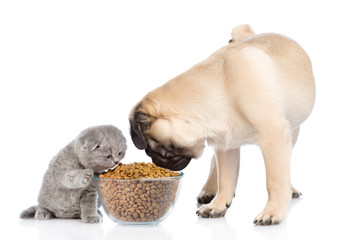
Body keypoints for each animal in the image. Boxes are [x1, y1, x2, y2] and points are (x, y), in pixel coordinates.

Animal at [130, 24, 316, 225]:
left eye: (152, 148)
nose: (155, 162)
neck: (223, 88)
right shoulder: (226, 147)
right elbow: (226, 179)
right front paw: (218, 206)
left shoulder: (274, 138)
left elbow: (275, 179)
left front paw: (273, 212)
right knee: (215, 164)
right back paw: (209, 190)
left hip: (292, 132)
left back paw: (290, 190)